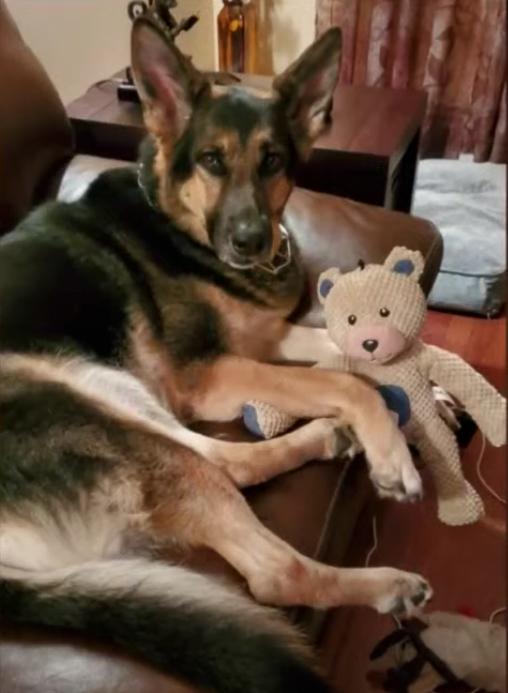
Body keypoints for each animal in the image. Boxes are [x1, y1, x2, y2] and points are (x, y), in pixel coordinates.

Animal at [0, 18, 430, 688]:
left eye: (272, 161)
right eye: (210, 160)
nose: (252, 243)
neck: (176, 222)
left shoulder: (264, 339)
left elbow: (349, 355)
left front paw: (421, 382)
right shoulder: (212, 373)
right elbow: (346, 382)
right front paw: (391, 454)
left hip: (117, 393)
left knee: (227, 461)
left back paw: (325, 438)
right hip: (96, 410)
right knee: (275, 571)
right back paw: (387, 585)